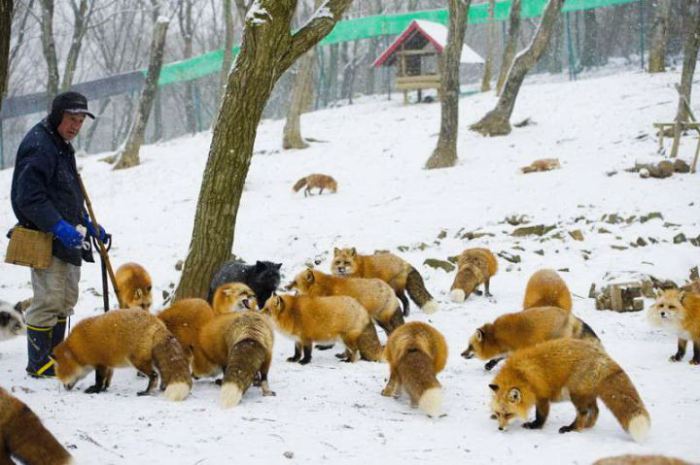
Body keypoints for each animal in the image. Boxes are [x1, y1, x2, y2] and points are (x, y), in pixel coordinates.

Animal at [52, 308, 192, 401]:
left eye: (62, 375)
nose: (64, 388)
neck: (78, 347)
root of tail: (158, 324)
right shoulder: (108, 364)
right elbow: (107, 379)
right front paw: (104, 389)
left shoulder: (100, 362)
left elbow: (99, 379)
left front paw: (96, 390)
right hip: (153, 360)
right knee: (162, 374)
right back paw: (161, 388)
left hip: (138, 361)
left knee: (154, 376)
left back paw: (146, 392)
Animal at [461, 306, 599, 370]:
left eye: (470, 346)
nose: (461, 354)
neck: (496, 336)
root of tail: (570, 316)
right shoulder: (509, 350)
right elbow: (498, 358)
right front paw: (489, 365)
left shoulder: (516, 348)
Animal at [489, 338, 650, 442]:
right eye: (499, 413)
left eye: (508, 414)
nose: (500, 429)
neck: (522, 375)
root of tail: (602, 356)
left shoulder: (542, 396)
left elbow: (541, 416)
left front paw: (535, 426)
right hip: (586, 394)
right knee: (595, 411)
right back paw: (587, 426)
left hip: (576, 394)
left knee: (583, 412)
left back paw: (572, 428)